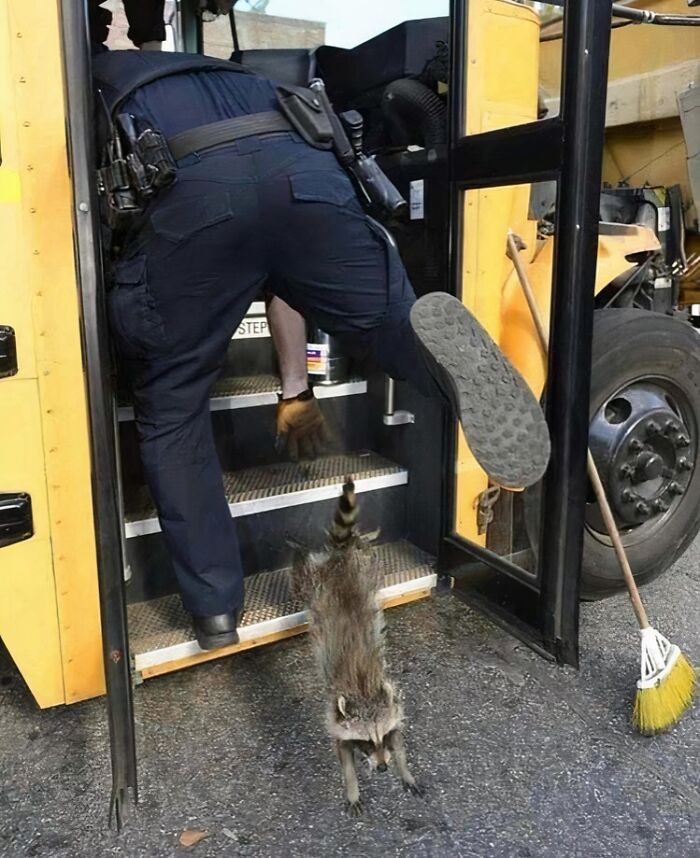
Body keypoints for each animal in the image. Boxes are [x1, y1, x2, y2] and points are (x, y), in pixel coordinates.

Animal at [291, 478, 423, 816]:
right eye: (365, 741)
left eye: (382, 738)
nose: (383, 769)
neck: (364, 693)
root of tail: (339, 561)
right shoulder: (336, 718)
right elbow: (344, 755)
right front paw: (352, 787)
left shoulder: (392, 707)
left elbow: (400, 740)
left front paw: (404, 767)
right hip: (314, 583)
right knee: (302, 575)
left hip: (366, 568)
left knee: (362, 550)